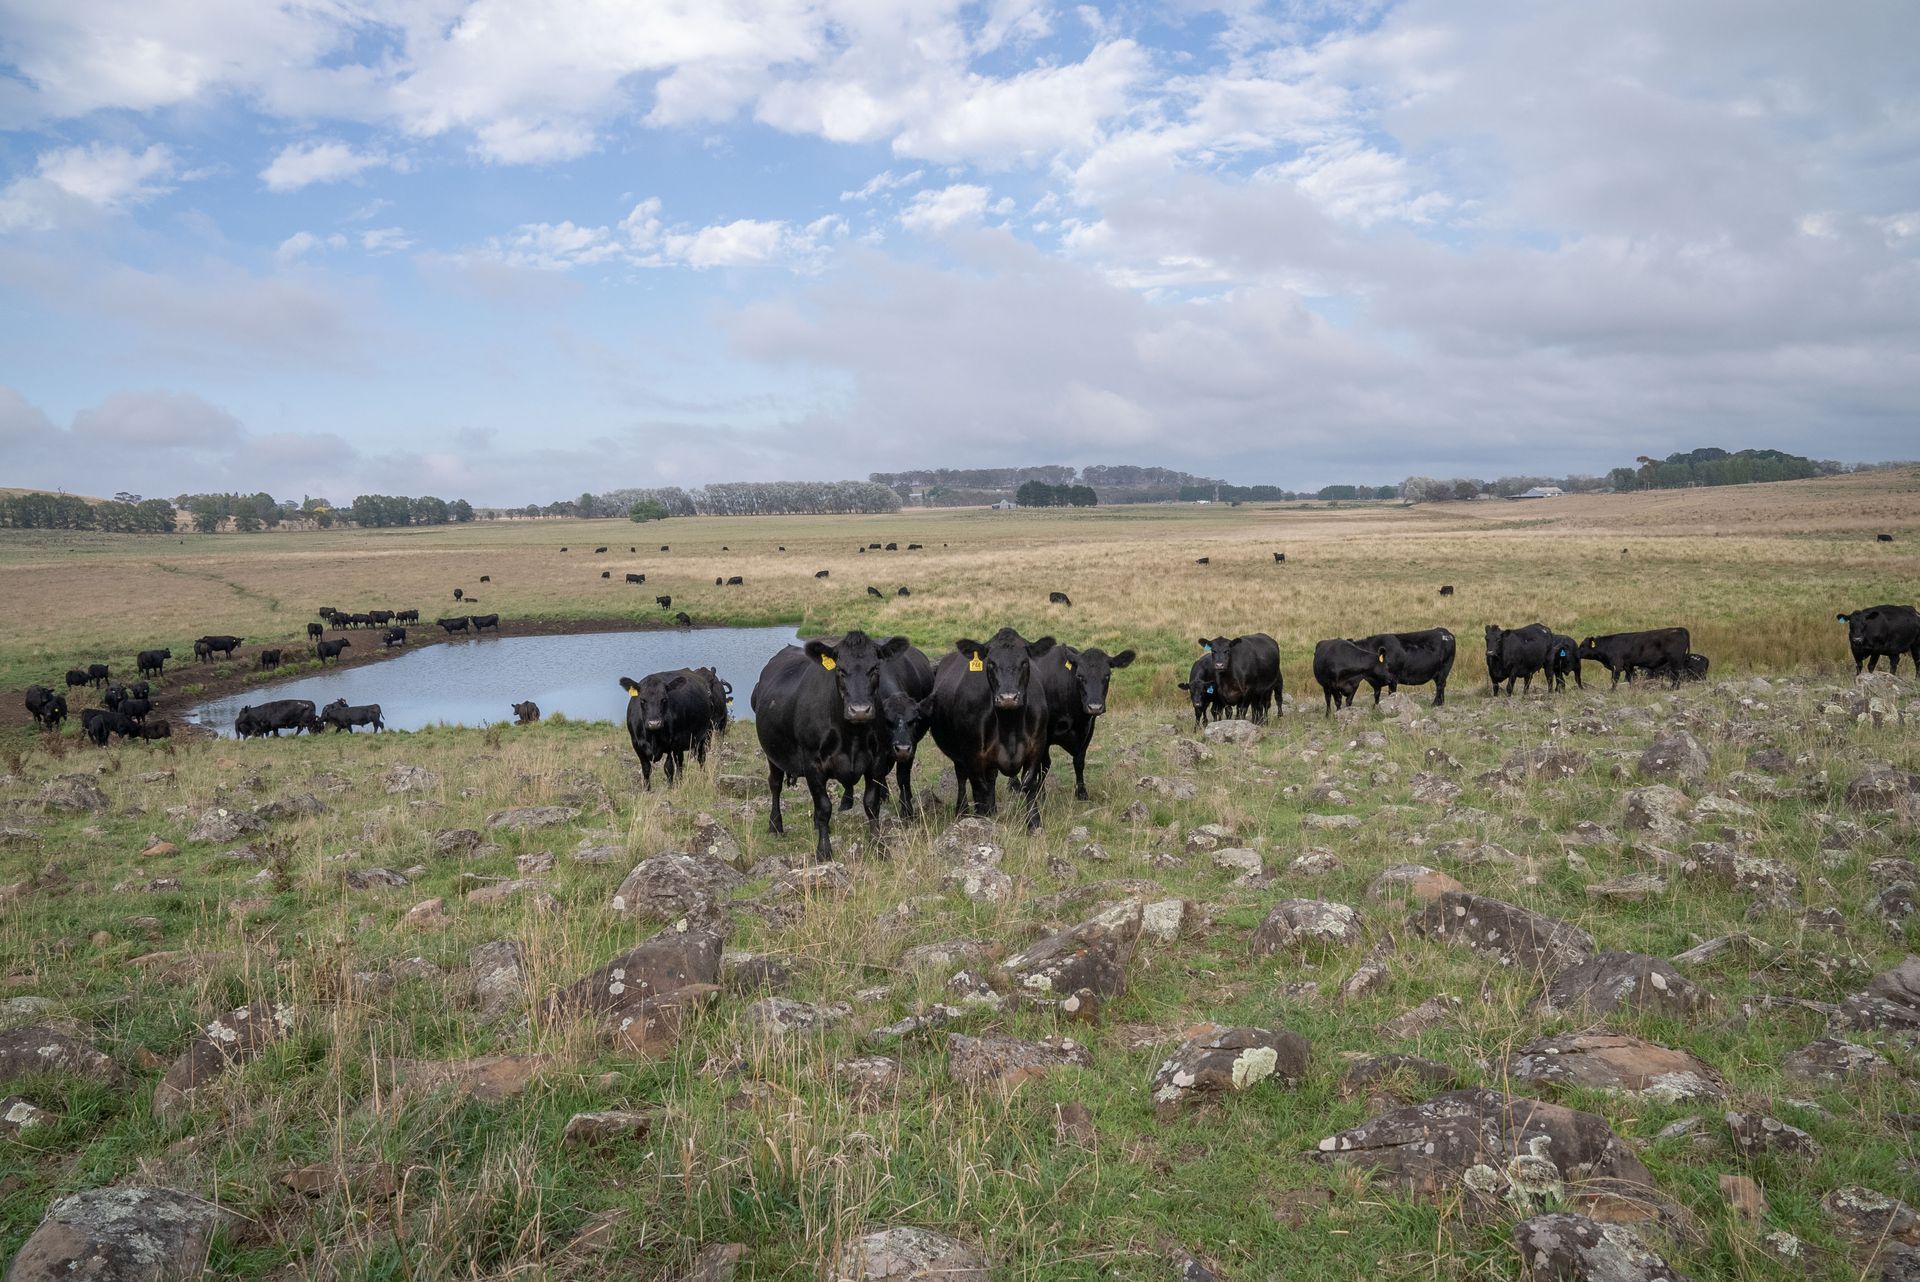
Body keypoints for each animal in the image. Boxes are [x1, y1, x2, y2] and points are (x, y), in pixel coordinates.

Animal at [752, 631, 914, 856]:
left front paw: (878, 846)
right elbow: (824, 807)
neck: (852, 736)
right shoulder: (812, 763)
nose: (860, 710)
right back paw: (775, 826)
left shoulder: (877, 760)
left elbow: (871, 804)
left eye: (875, 668)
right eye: (840, 669)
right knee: (775, 785)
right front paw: (824, 850)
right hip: (773, 755)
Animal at [929, 628, 1058, 833]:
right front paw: (981, 821)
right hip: (959, 755)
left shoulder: (1037, 746)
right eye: (990, 663)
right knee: (962, 778)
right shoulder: (972, 754)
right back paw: (963, 811)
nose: (1008, 697)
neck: (1009, 726)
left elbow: (1029, 784)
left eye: (1024, 662)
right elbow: (979, 789)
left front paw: (1034, 823)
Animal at [1034, 644, 1136, 800]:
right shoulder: (1043, 733)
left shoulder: (1088, 729)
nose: (1095, 707)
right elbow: (1043, 765)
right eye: (1079, 676)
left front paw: (1082, 793)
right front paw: (1041, 794)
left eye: (1107, 675)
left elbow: (1079, 761)